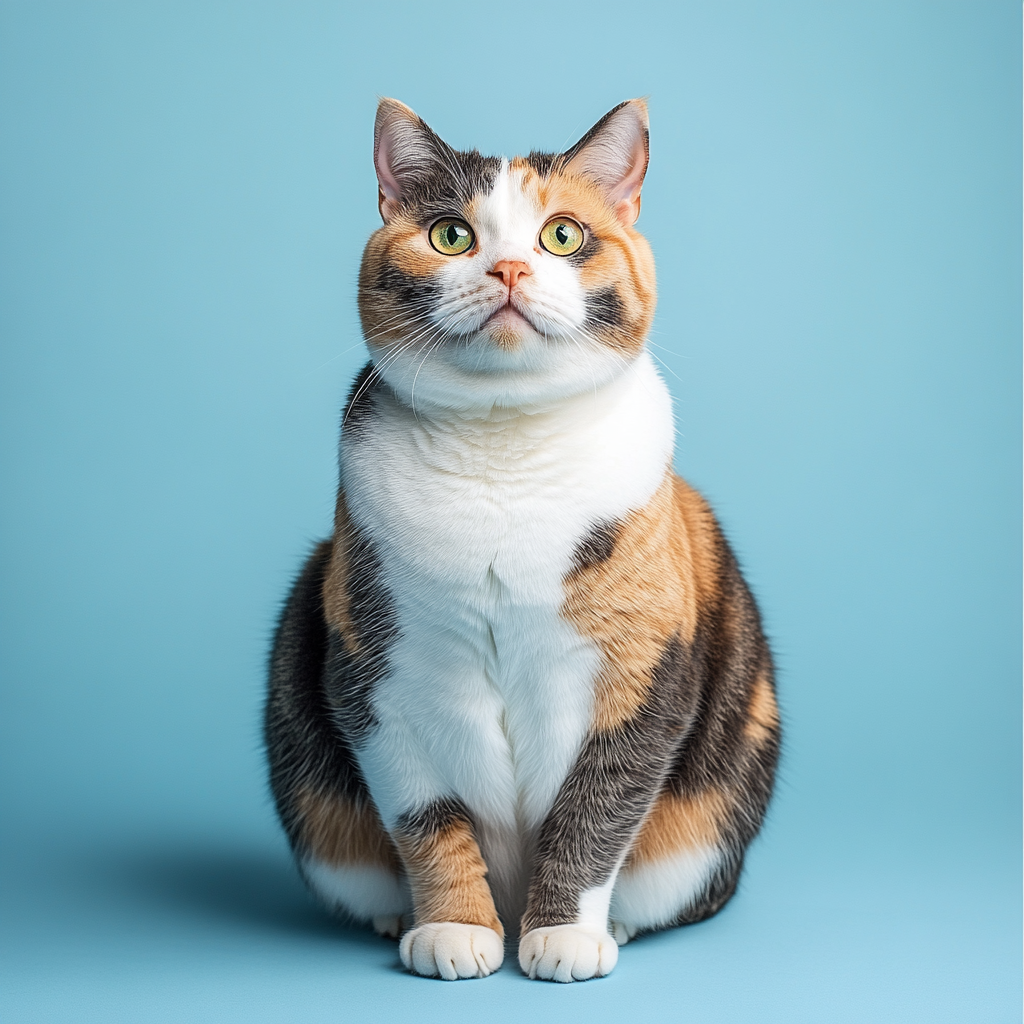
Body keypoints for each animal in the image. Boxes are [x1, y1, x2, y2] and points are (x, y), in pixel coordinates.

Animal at [268, 97, 778, 983]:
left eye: (562, 235)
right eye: (451, 235)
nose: (507, 270)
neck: (503, 453)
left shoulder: (642, 674)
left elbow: (595, 809)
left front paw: (565, 937)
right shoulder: (376, 675)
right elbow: (426, 818)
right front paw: (453, 928)